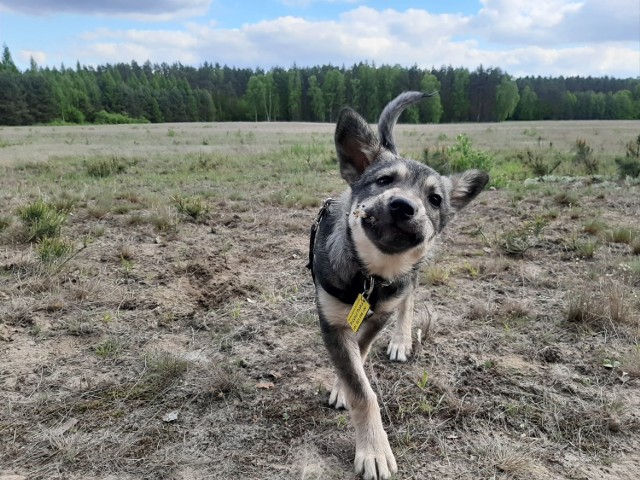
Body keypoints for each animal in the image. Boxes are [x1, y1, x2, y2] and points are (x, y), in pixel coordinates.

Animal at [310, 91, 490, 480]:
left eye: (435, 199)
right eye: (384, 180)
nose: (403, 206)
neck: (371, 276)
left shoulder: (380, 313)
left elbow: (361, 351)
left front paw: (345, 390)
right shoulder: (330, 321)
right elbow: (361, 384)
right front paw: (373, 447)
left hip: (414, 274)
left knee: (409, 298)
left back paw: (401, 339)